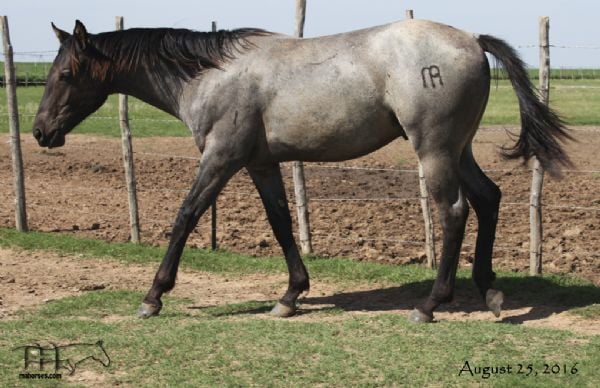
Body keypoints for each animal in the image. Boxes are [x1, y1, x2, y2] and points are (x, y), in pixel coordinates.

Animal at [34, 19, 572, 322]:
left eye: (66, 74)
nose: (40, 132)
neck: (211, 73)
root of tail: (471, 39)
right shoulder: (260, 163)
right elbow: (280, 223)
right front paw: (290, 295)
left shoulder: (221, 158)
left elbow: (186, 216)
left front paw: (153, 296)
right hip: (459, 150)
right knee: (488, 198)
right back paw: (490, 291)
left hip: (435, 149)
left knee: (454, 211)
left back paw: (429, 305)